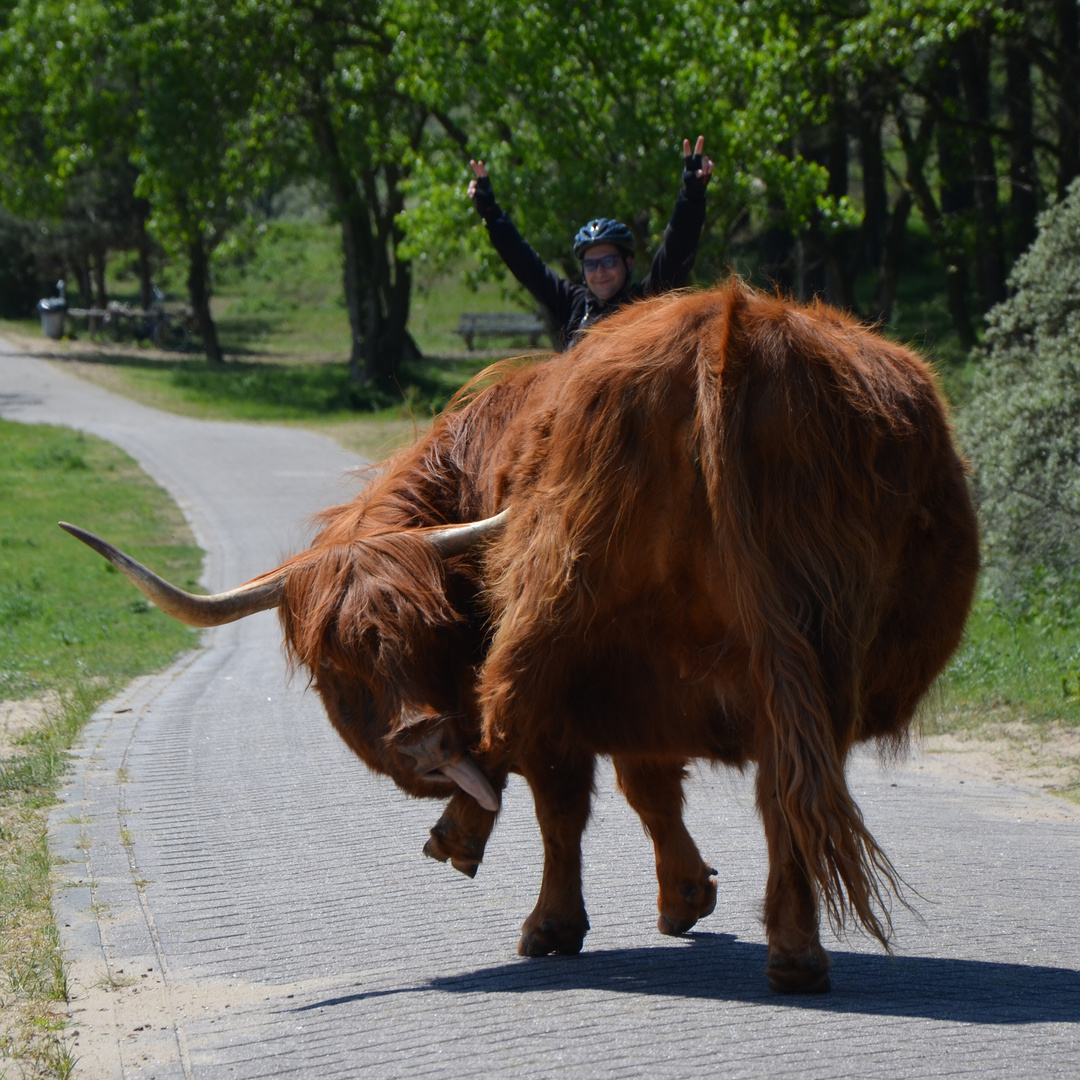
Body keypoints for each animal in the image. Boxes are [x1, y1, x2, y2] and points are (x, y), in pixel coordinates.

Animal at [63, 282, 984, 989]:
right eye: (337, 667)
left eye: (429, 631)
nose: (419, 735)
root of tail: (730, 328)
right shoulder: (645, 688)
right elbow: (647, 788)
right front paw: (684, 895)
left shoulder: (591, 679)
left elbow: (563, 796)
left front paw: (555, 916)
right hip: (811, 662)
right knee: (785, 791)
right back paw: (794, 955)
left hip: (566, 626)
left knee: (544, 749)